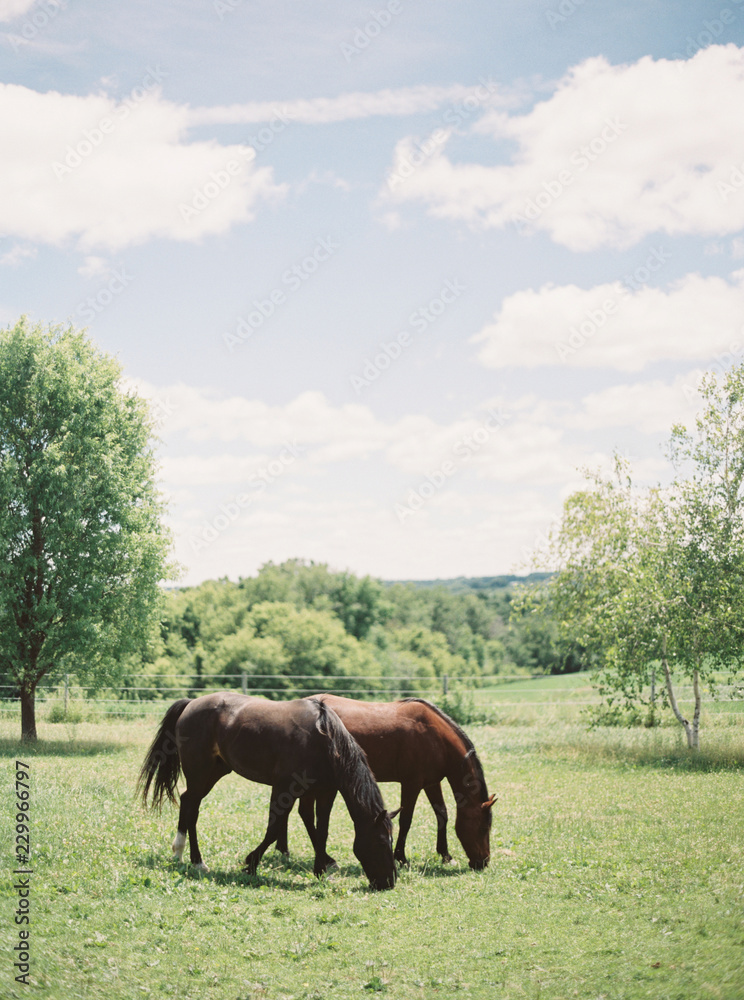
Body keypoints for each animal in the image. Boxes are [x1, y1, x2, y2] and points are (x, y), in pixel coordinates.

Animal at [137, 696, 398, 892]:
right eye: (380, 842)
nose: (389, 882)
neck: (323, 738)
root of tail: (191, 703)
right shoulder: (284, 788)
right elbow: (274, 829)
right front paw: (251, 864)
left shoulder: (325, 793)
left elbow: (321, 831)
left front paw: (321, 870)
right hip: (200, 773)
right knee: (191, 807)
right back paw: (195, 860)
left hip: (215, 772)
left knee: (188, 802)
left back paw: (183, 856)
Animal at [274, 696, 494, 868]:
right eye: (484, 828)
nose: (482, 862)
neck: (435, 736)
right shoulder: (412, 783)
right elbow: (406, 819)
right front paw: (401, 858)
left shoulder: (431, 783)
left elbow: (442, 814)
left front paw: (445, 855)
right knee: (304, 813)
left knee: (295, 811)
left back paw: (284, 850)